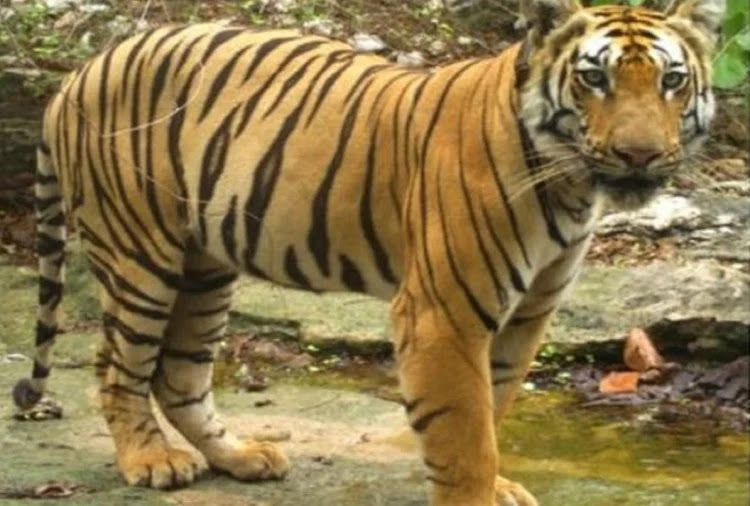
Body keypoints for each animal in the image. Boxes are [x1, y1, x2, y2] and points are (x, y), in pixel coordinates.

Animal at [11, 0, 724, 504]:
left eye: (672, 81)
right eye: (593, 78)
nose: (639, 156)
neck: (570, 184)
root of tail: (80, 72)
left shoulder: (528, 314)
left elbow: (494, 405)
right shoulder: (442, 313)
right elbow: (465, 432)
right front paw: (476, 493)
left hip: (206, 264)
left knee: (179, 373)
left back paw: (241, 458)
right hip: (141, 257)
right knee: (117, 365)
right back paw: (151, 461)